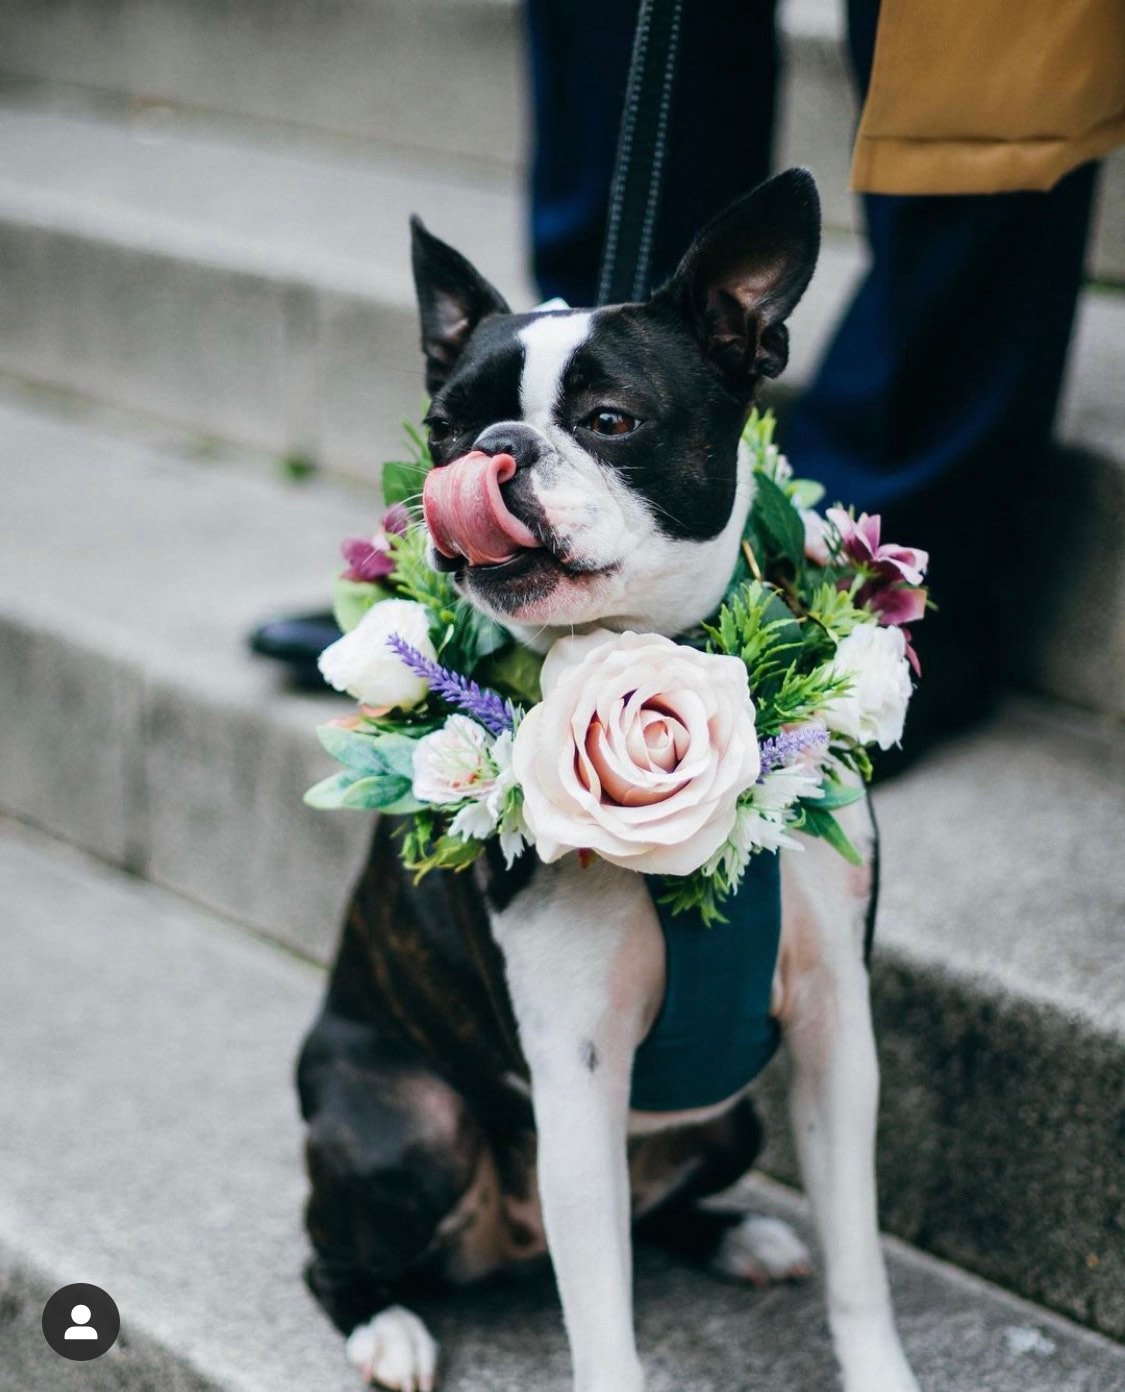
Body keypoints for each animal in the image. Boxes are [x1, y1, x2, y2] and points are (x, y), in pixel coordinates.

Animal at [299, 171, 924, 1392]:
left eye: (609, 421)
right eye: (441, 428)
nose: (488, 447)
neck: (654, 656)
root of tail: (503, 1241)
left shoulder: (836, 1030)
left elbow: (860, 1261)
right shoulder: (577, 1070)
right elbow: (603, 1323)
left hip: (733, 1125)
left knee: (673, 1205)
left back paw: (737, 1234)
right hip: (408, 1127)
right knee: (333, 1252)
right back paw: (387, 1326)